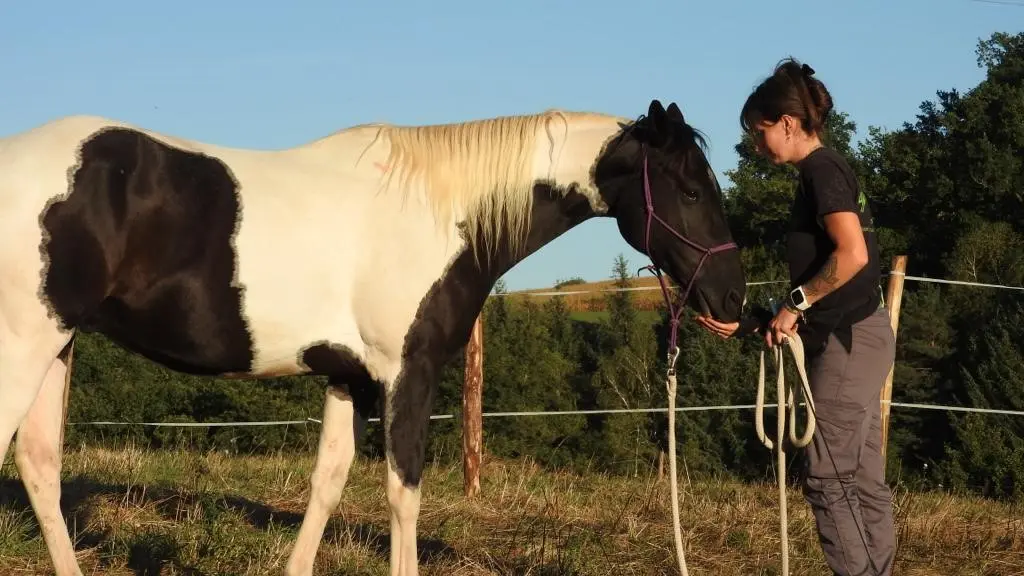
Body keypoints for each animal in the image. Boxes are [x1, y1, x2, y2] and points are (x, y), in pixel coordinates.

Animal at [0, 96, 745, 569]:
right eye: (690, 188)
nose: (732, 298)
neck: (442, 210)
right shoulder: (407, 373)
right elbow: (402, 493)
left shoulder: (348, 377)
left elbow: (326, 484)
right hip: (25, 346)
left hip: (59, 343)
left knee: (40, 465)